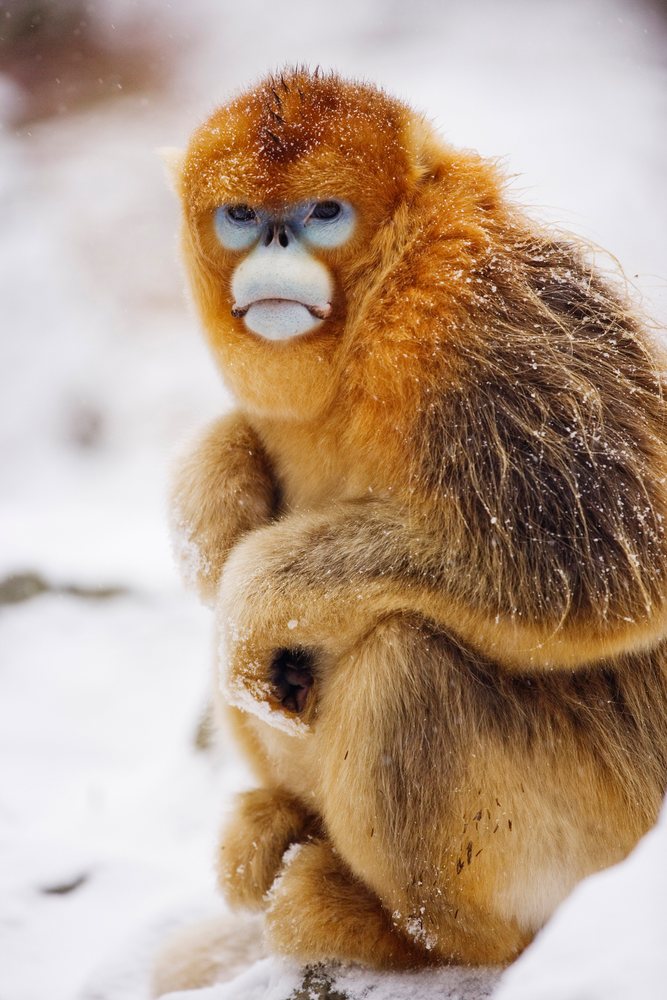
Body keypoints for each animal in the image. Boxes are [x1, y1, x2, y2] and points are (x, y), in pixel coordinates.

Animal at [157, 68, 667, 989]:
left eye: (323, 212)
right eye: (242, 215)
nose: (275, 243)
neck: (370, 308)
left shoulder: (469, 319)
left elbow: (601, 562)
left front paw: (252, 591)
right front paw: (214, 489)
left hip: (604, 841)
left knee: (402, 665)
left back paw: (400, 934)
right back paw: (276, 826)